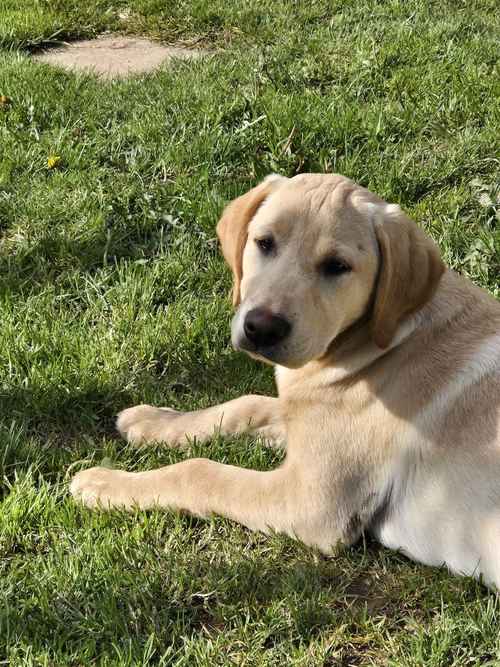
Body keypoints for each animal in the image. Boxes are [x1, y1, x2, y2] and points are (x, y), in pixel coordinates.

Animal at [70, 175, 500, 588]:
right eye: (264, 243)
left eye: (337, 266)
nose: (261, 328)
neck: (385, 338)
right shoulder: (303, 414)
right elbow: (245, 403)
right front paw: (154, 421)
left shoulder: (310, 503)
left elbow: (200, 470)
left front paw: (104, 484)